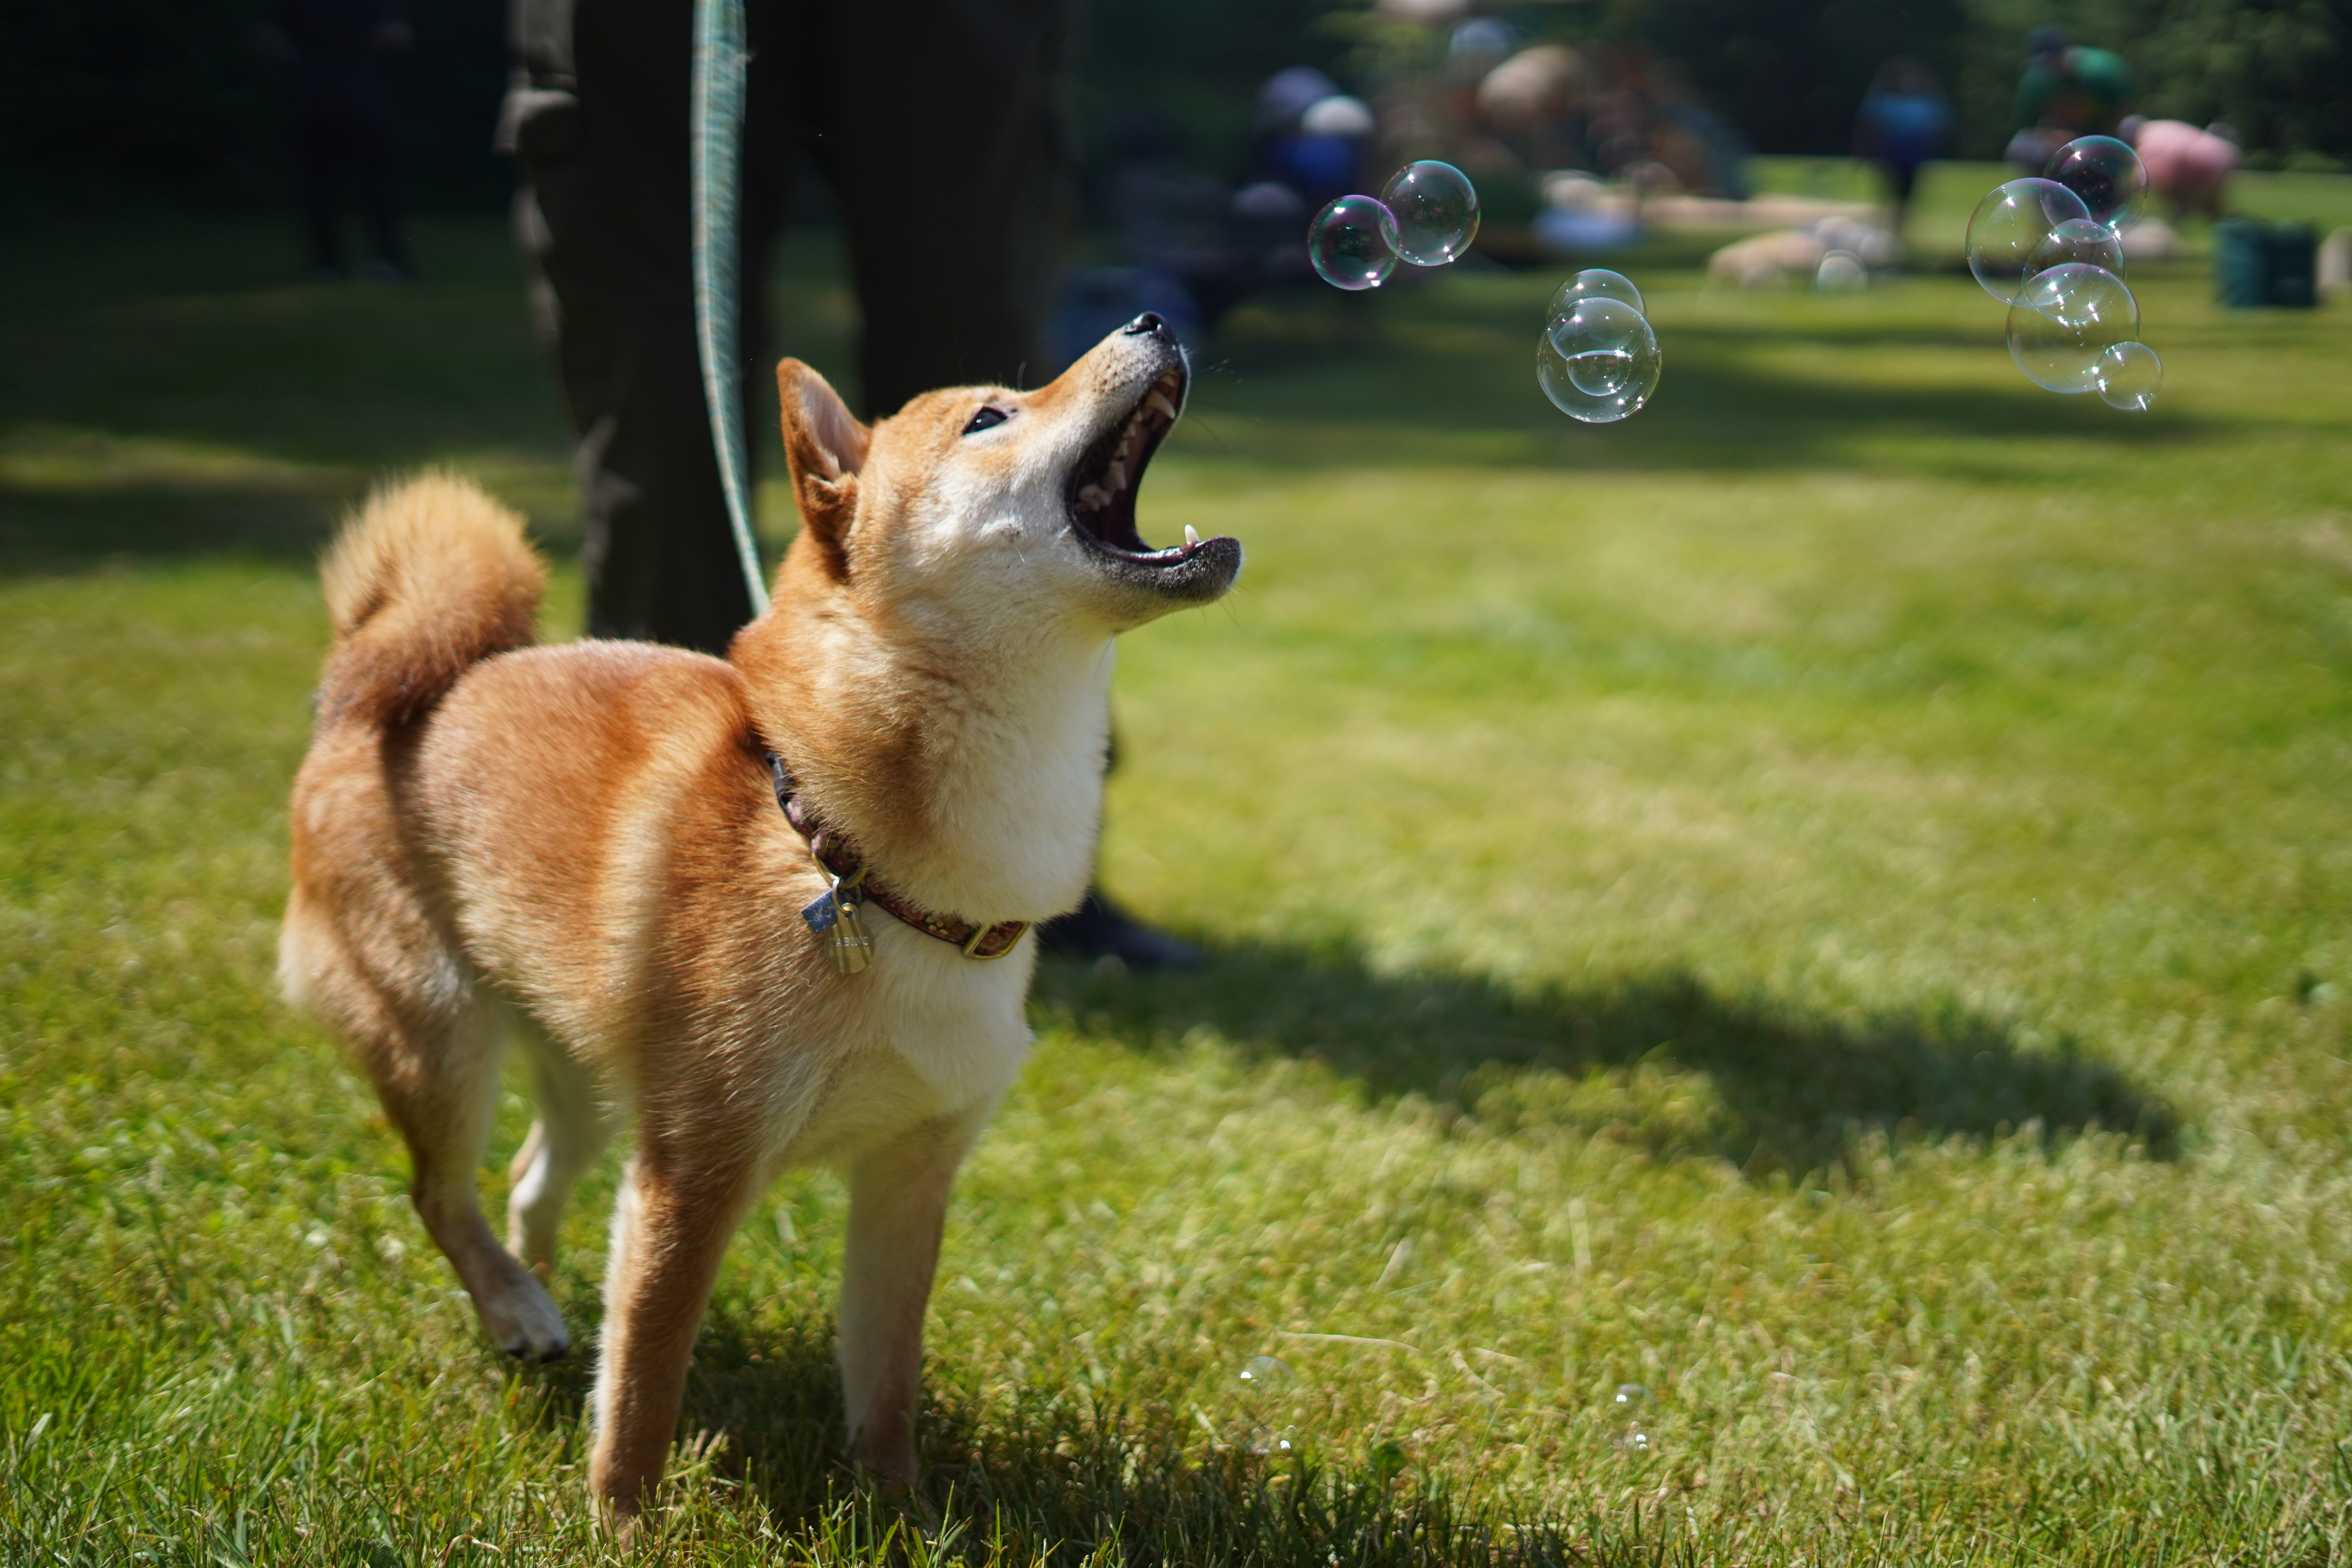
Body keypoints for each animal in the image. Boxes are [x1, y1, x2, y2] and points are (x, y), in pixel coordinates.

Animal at [275, 315, 1242, 1533]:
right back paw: (513, 1305)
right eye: (988, 416)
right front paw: (623, 1527)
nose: (1151, 322)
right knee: (439, 1193)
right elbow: (647, 1382)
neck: (847, 853)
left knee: (532, 1178)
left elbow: (885, 1375)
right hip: (439, 1039)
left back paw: (543, 1292)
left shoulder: (910, 1174)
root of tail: (368, 692)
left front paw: (901, 1512)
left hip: (587, 1073)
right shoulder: (696, 1169)